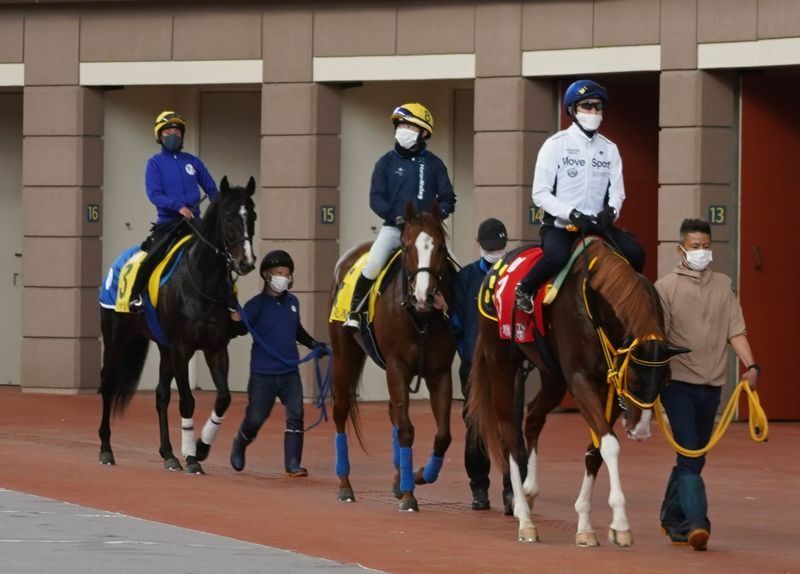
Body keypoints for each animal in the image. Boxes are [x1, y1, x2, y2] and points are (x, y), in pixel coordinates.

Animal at [98, 178, 258, 474]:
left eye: (252, 216)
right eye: (228, 217)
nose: (246, 262)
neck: (202, 280)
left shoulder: (215, 348)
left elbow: (223, 398)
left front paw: (202, 447)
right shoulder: (183, 348)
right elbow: (187, 401)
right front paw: (192, 457)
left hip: (164, 347)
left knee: (161, 395)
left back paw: (169, 454)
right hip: (116, 336)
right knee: (109, 382)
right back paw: (106, 449)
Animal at [326, 206, 454, 512]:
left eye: (441, 248)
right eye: (407, 247)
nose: (424, 295)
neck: (420, 317)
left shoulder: (440, 371)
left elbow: (443, 435)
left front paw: (419, 475)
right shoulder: (397, 366)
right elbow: (406, 430)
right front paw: (409, 494)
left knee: (394, 414)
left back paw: (399, 478)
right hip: (344, 356)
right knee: (341, 411)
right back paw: (345, 485)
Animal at [468, 243, 688, 548]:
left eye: (665, 380)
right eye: (632, 379)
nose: (642, 430)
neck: (596, 306)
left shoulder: (610, 390)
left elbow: (596, 450)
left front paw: (585, 525)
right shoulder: (582, 381)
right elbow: (610, 445)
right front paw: (620, 522)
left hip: (553, 376)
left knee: (533, 417)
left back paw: (530, 489)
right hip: (501, 362)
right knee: (509, 434)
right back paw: (524, 517)